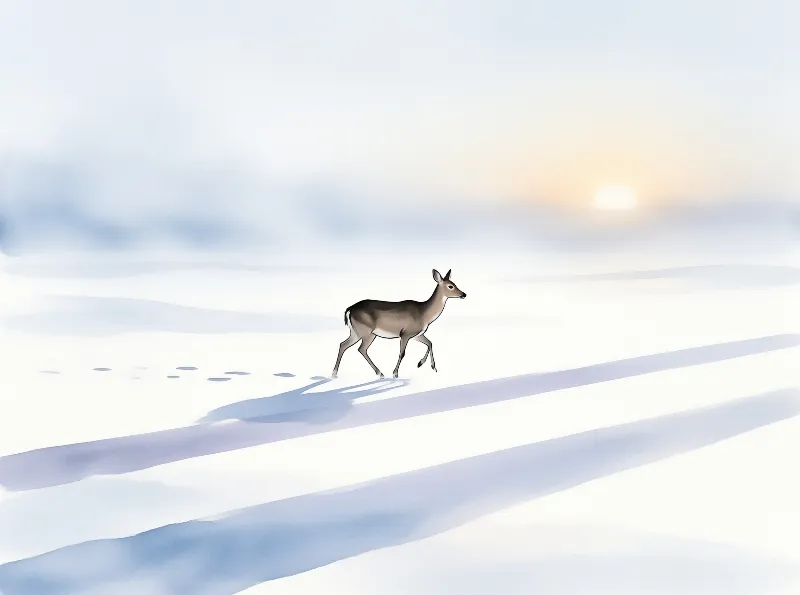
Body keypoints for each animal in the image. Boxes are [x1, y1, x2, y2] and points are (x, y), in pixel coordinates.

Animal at [332, 269, 467, 379]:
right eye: (450, 286)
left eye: (455, 283)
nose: (463, 294)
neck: (423, 314)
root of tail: (349, 309)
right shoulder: (405, 333)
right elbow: (402, 353)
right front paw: (395, 373)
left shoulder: (417, 334)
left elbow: (430, 343)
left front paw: (427, 365)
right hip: (366, 332)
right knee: (361, 349)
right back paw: (380, 373)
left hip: (356, 332)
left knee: (343, 344)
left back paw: (334, 373)